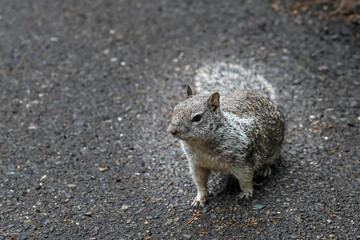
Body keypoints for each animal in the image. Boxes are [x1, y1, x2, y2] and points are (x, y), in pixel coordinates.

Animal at [167, 62, 286, 207]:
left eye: (197, 117)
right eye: (175, 108)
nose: (172, 130)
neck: (200, 145)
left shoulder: (242, 162)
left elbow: (245, 179)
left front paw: (246, 193)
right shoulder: (196, 164)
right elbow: (200, 182)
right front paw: (200, 197)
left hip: (274, 149)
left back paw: (264, 169)